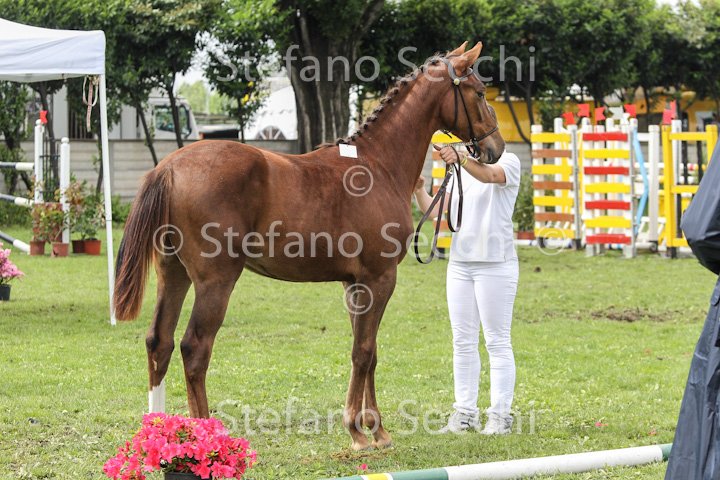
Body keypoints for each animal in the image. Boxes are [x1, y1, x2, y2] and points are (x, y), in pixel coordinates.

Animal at [113, 41, 505, 451]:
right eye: (480, 93)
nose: (495, 147)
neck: (379, 165)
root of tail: (168, 168)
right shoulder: (380, 279)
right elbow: (364, 351)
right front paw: (359, 432)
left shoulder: (355, 285)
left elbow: (368, 351)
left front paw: (374, 428)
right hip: (215, 282)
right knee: (194, 348)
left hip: (173, 274)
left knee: (159, 342)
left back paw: (158, 432)